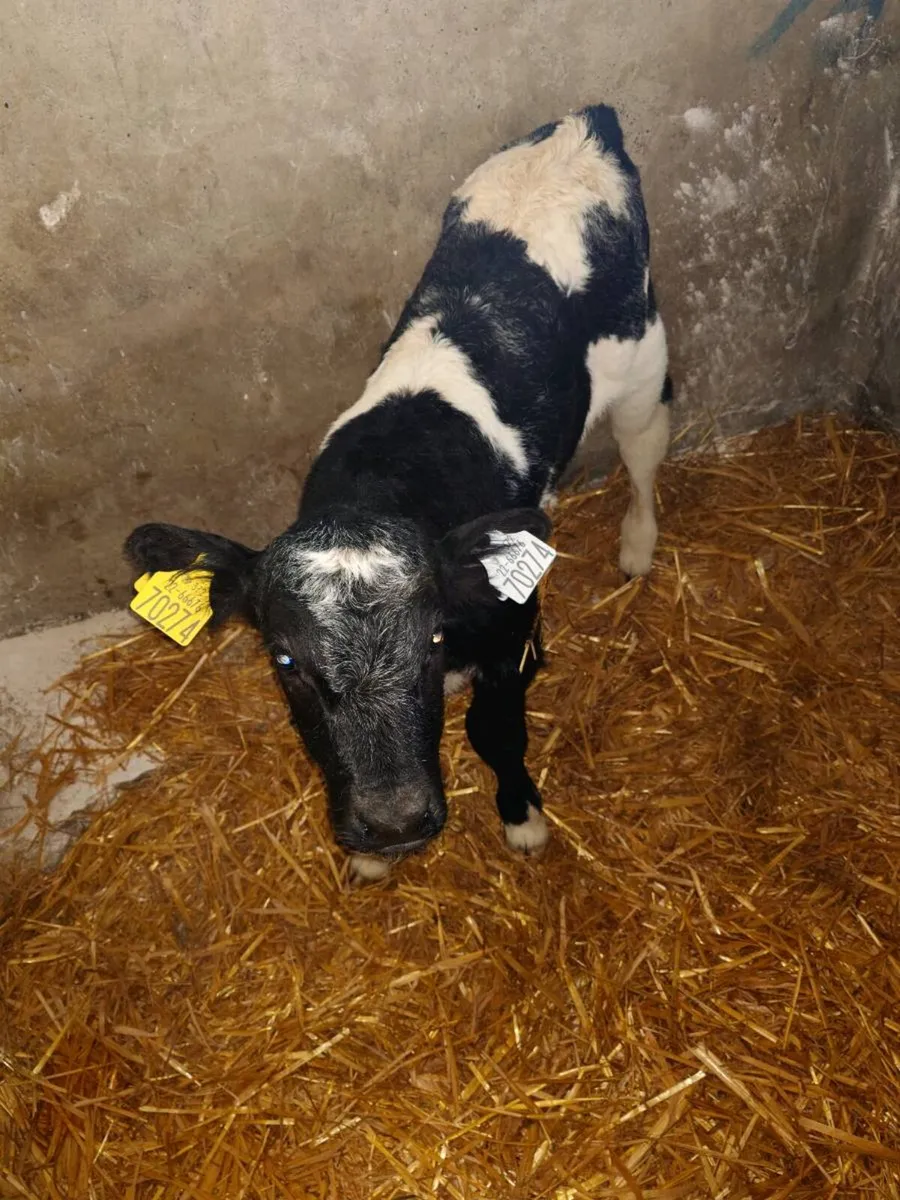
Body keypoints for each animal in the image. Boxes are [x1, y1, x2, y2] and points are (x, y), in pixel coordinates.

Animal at [124, 105, 672, 884]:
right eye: (285, 661)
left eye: (432, 637)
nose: (393, 824)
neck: (385, 477)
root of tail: (582, 122)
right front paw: (371, 859)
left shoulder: (509, 629)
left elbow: (495, 728)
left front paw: (523, 817)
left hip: (641, 363)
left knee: (645, 453)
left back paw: (636, 545)